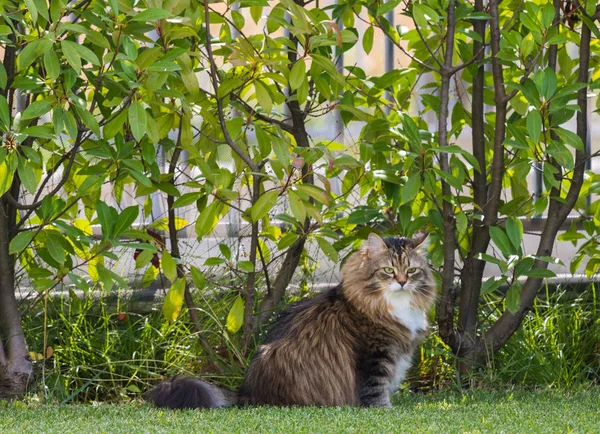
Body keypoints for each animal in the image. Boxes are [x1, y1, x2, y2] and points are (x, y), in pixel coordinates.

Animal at [147, 232, 434, 408]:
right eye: (388, 270)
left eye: (411, 270)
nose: (402, 282)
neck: (394, 305)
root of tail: (247, 390)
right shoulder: (374, 355)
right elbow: (375, 391)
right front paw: (384, 409)